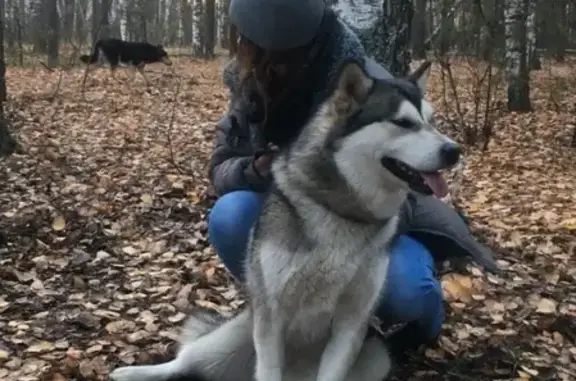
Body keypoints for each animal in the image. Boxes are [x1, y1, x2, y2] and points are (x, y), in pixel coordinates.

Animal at [108, 60, 460, 380]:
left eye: (432, 121)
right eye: (403, 122)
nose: (454, 151)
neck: (342, 211)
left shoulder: (351, 324)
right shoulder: (271, 316)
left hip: (376, 355)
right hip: (234, 333)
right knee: (184, 361)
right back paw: (131, 372)